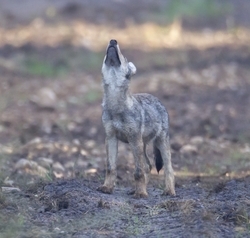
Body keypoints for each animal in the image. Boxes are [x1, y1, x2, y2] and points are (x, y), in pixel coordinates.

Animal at [97, 40, 176, 198]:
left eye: (123, 57)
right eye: (105, 56)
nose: (113, 41)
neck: (115, 106)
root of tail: (158, 99)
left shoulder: (134, 139)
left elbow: (138, 172)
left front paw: (140, 193)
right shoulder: (110, 138)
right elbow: (110, 167)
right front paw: (107, 187)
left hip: (159, 143)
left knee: (168, 169)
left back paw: (169, 191)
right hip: (142, 145)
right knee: (148, 165)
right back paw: (135, 189)